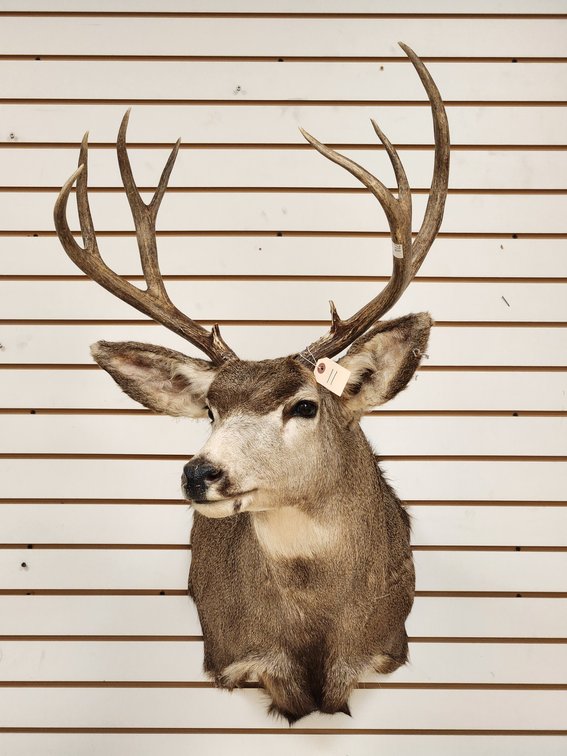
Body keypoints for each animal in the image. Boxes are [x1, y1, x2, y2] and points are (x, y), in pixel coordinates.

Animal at [53, 43, 449, 723]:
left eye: (305, 406)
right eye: (211, 408)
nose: (199, 472)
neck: (316, 640)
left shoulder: (383, 649)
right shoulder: (236, 655)